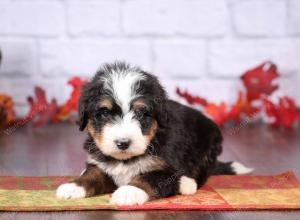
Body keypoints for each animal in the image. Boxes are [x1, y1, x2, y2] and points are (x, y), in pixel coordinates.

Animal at [56, 61, 253, 205]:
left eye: (141, 114)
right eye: (104, 113)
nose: (123, 143)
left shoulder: (167, 169)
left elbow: (148, 178)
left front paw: (129, 191)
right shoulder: (100, 163)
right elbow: (93, 174)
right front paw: (74, 186)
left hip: (208, 146)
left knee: (201, 171)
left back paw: (187, 184)